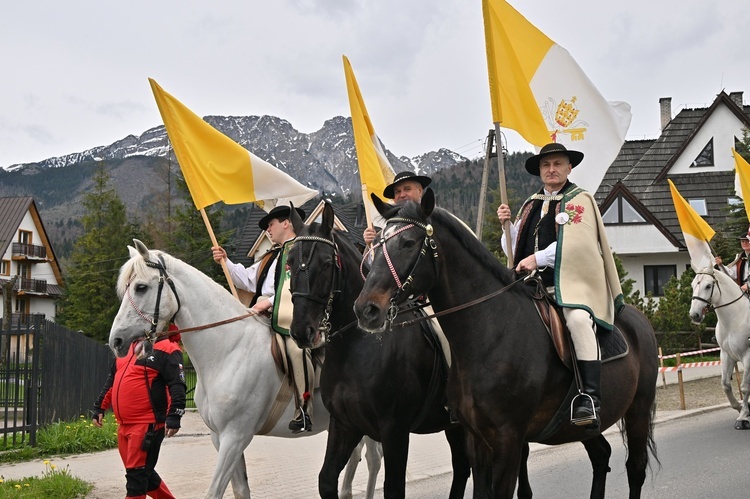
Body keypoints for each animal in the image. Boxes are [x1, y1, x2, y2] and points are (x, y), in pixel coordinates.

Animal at [108, 240, 384, 498]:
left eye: (141, 287)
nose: (116, 341)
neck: (229, 349)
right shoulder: (220, 437)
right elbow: (240, 490)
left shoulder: (235, 436)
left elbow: (214, 492)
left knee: (373, 460)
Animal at [286, 204, 470, 499]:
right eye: (290, 263)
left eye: (326, 264)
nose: (303, 331)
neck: (356, 349)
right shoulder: (345, 425)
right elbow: (326, 480)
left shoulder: (394, 431)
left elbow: (393, 487)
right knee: (463, 467)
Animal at [356, 189, 660, 498]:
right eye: (376, 246)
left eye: (407, 243)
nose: (366, 309)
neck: (490, 332)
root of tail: (639, 319)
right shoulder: (476, 440)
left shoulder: (508, 440)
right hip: (583, 428)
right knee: (601, 456)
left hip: (637, 410)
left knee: (635, 469)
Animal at [692, 266, 750, 430]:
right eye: (693, 285)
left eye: (708, 286)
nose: (694, 315)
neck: (736, 319)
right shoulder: (726, 355)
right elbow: (725, 385)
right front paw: (739, 407)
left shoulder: (747, 355)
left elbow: (744, 387)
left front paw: (743, 417)